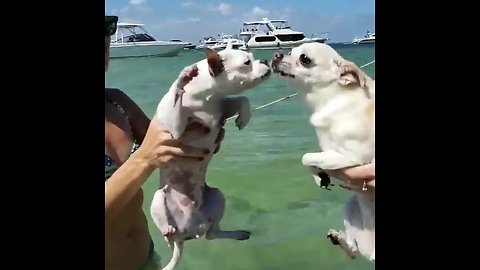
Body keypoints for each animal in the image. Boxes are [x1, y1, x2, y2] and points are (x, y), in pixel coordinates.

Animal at [150, 47, 270, 270]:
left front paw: (244, 117)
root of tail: (187, 231)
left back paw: (238, 234)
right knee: (169, 236)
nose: (266, 60)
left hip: (217, 196)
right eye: (246, 62)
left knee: (212, 234)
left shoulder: (222, 106)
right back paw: (168, 230)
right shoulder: (175, 129)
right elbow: (177, 98)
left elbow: (241, 99)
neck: (208, 98)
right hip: (159, 198)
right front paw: (183, 78)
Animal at [270, 43, 376, 262]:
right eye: (290, 51)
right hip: (350, 206)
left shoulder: (352, 157)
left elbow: (307, 157)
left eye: (305, 59)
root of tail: (371, 251)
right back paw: (339, 239)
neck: (334, 100)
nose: (277, 54)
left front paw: (319, 172)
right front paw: (320, 176)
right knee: (353, 251)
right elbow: (313, 158)